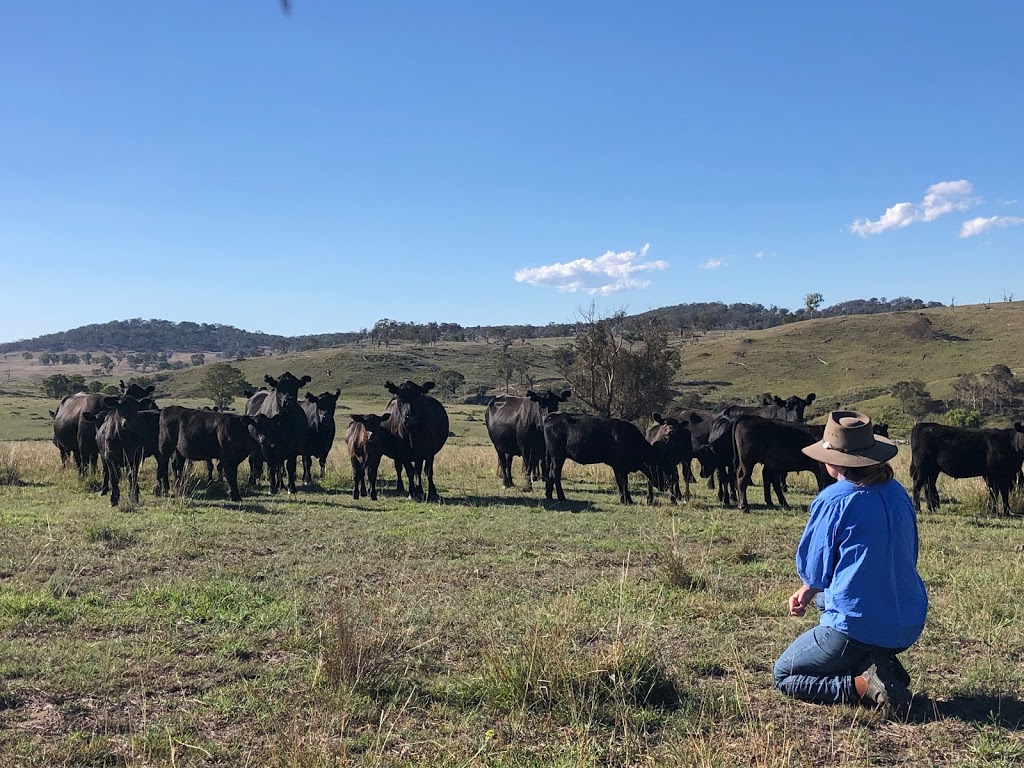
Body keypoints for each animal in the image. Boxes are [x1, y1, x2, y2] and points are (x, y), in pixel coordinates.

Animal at [540, 415, 675, 505]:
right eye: (661, 466)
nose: (666, 484)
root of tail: (551, 417)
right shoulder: (619, 466)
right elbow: (623, 482)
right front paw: (626, 500)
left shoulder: (620, 468)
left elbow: (622, 483)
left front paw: (626, 499)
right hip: (558, 456)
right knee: (556, 473)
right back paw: (561, 496)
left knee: (551, 473)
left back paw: (549, 495)